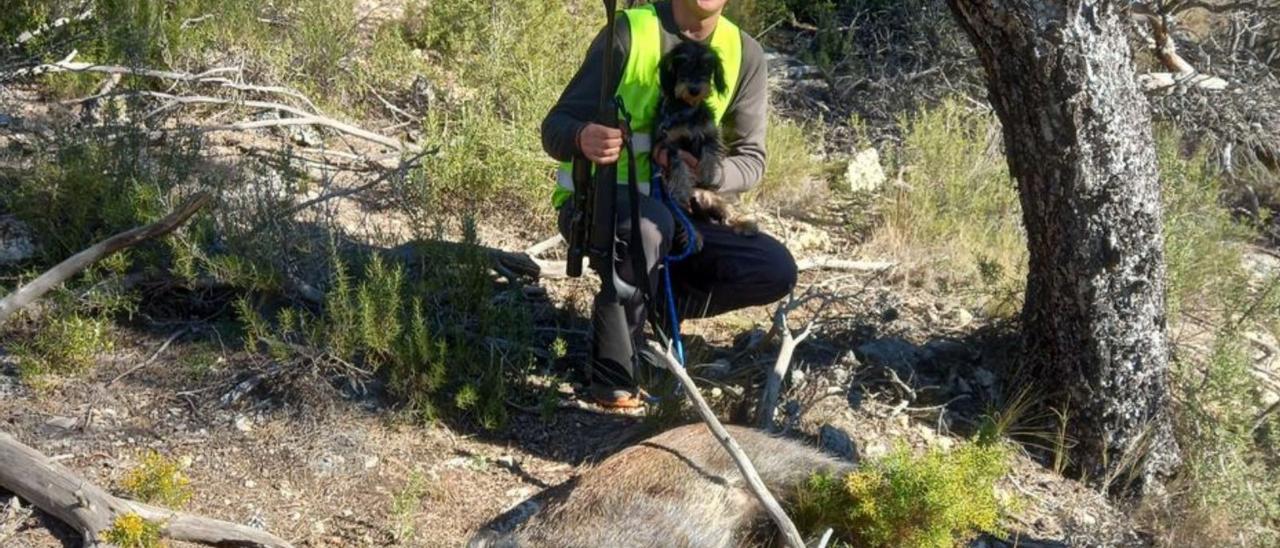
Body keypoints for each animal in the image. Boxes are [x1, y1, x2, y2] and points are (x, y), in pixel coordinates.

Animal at [655, 38, 752, 244]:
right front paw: (682, 186)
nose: (694, 90)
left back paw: (745, 224)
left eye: (707, 66)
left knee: (728, 210)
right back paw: (695, 236)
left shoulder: (710, 134)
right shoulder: (670, 144)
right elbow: (679, 167)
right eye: (682, 62)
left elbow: (709, 153)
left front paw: (707, 173)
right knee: (683, 218)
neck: (687, 109)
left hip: (717, 197)